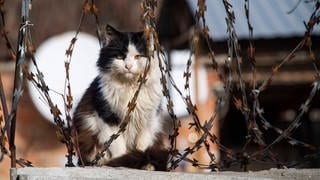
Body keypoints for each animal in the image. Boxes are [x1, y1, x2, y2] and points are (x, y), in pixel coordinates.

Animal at [71, 24, 169, 170]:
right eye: (119, 56)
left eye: (138, 56)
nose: (128, 66)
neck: (130, 89)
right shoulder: (108, 119)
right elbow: (118, 147)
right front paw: (120, 162)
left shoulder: (148, 120)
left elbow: (143, 147)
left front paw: (144, 165)